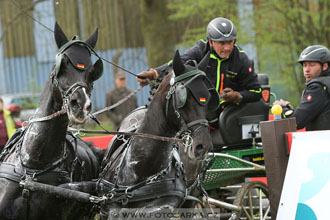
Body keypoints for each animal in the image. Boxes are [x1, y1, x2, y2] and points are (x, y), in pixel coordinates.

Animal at [96, 50, 218, 219]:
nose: (203, 145)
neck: (140, 169)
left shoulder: (159, 209)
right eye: (182, 97)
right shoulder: (110, 209)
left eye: (208, 97)